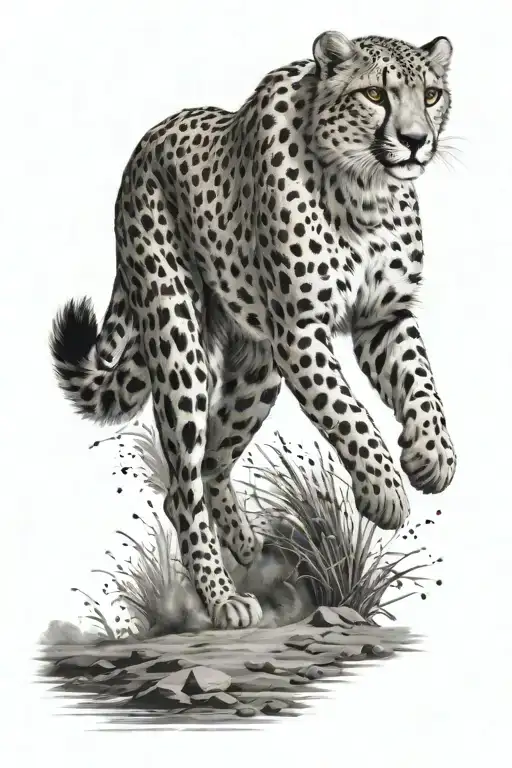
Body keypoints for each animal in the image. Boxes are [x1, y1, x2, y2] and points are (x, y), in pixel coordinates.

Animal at [50, 31, 457, 630]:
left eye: (431, 95)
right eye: (375, 95)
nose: (414, 141)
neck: (366, 191)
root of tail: (146, 142)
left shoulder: (383, 318)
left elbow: (423, 388)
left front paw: (432, 457)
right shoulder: (301, 330)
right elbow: (349, 415)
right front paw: (385, 492)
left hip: (258, 366)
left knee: (209, 463)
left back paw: (244, 544)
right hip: (180, 344)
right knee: (184, 484)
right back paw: (223, 600)